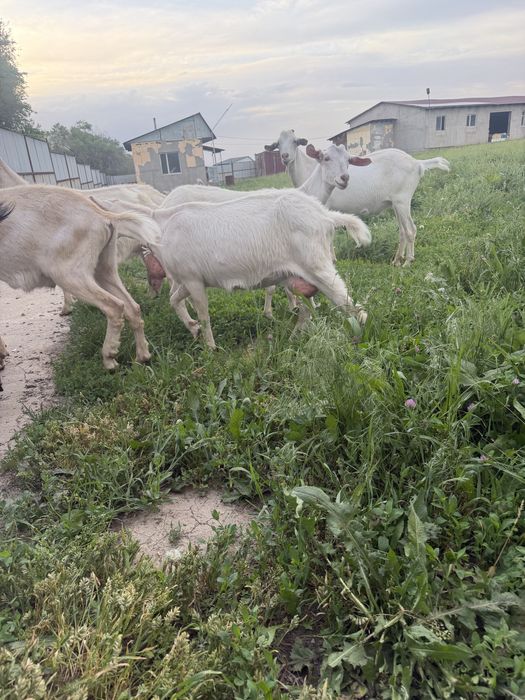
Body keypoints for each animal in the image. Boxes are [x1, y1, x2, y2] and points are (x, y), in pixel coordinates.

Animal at [0, 187, 161, 369]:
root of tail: (103, 215)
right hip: (104, 269)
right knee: (132, 307)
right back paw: (142, 357)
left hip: (70, 274)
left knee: (114, 306)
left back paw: (109, 358)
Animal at [265, 129, 450, 266]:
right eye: (278, 144)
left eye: (295, 142)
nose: (285, 156)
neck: (310, 171)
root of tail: (417, 163)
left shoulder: (326, 207)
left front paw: (332, 259)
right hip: (396, 203)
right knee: (403, 231)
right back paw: (397, 260)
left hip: (403, 200)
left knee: (411, 229)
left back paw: (408, 261)